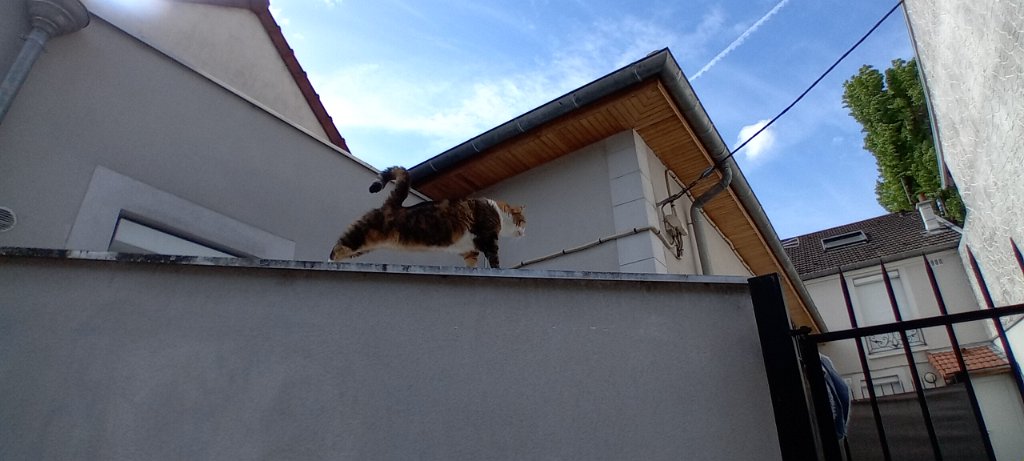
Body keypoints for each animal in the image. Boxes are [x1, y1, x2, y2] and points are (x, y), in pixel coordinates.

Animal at [329, 166, 525, 268]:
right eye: (523, 221)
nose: (525, 232)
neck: (498, 212)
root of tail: (392, 204)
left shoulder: (469, 248)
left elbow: (472, 262)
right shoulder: (488, 237)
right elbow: (494, 258)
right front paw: (497, 269)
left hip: (363, 247)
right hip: (361, 234)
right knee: (338, 246)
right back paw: (329, 262)